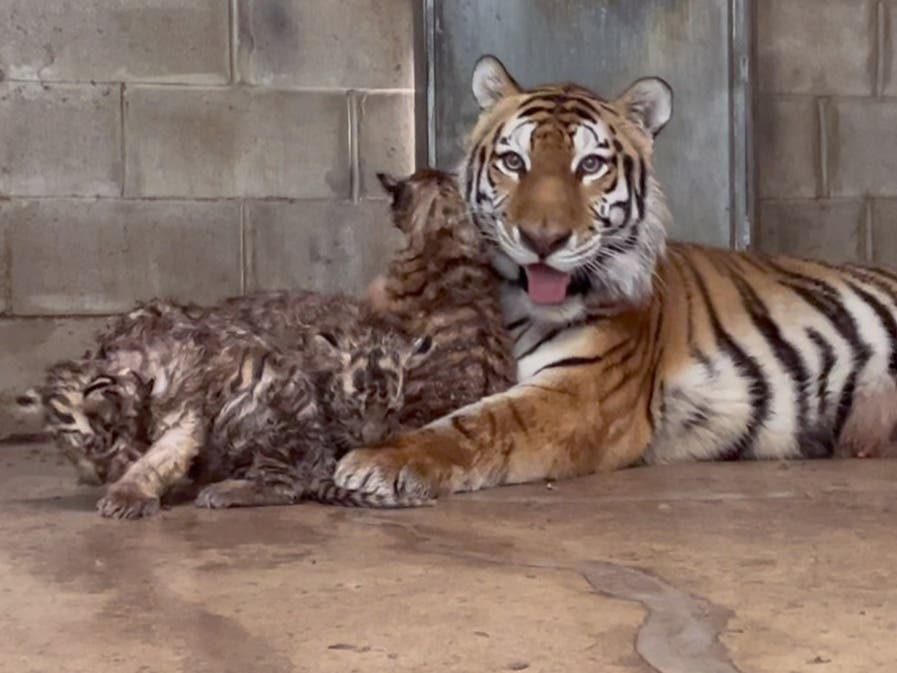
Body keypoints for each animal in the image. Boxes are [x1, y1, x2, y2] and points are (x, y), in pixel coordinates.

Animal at [334, 55, 896, 498]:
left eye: (590, 165)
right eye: (514, 161)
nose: (542, 239)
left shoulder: (580, 392)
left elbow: (479, 424)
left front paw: (378, 461)